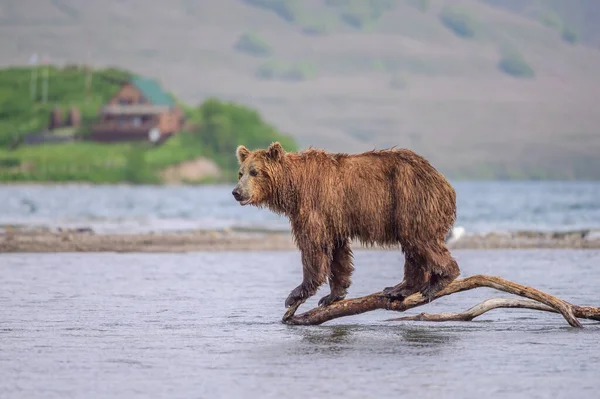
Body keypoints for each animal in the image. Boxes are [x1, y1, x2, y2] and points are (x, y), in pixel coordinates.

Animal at [231, 142, 460, 310]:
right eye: (241, 173)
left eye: (255, 172)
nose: (236, 192)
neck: (293, 187)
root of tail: (445, 183)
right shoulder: (333, 218)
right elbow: (337, 254)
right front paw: (332, 295)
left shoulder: (314, 205)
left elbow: (313, 247)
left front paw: (296, 294)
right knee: (413, 247)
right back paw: (399, 289)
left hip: (411, 199)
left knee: (420, 240)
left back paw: (438, 281)